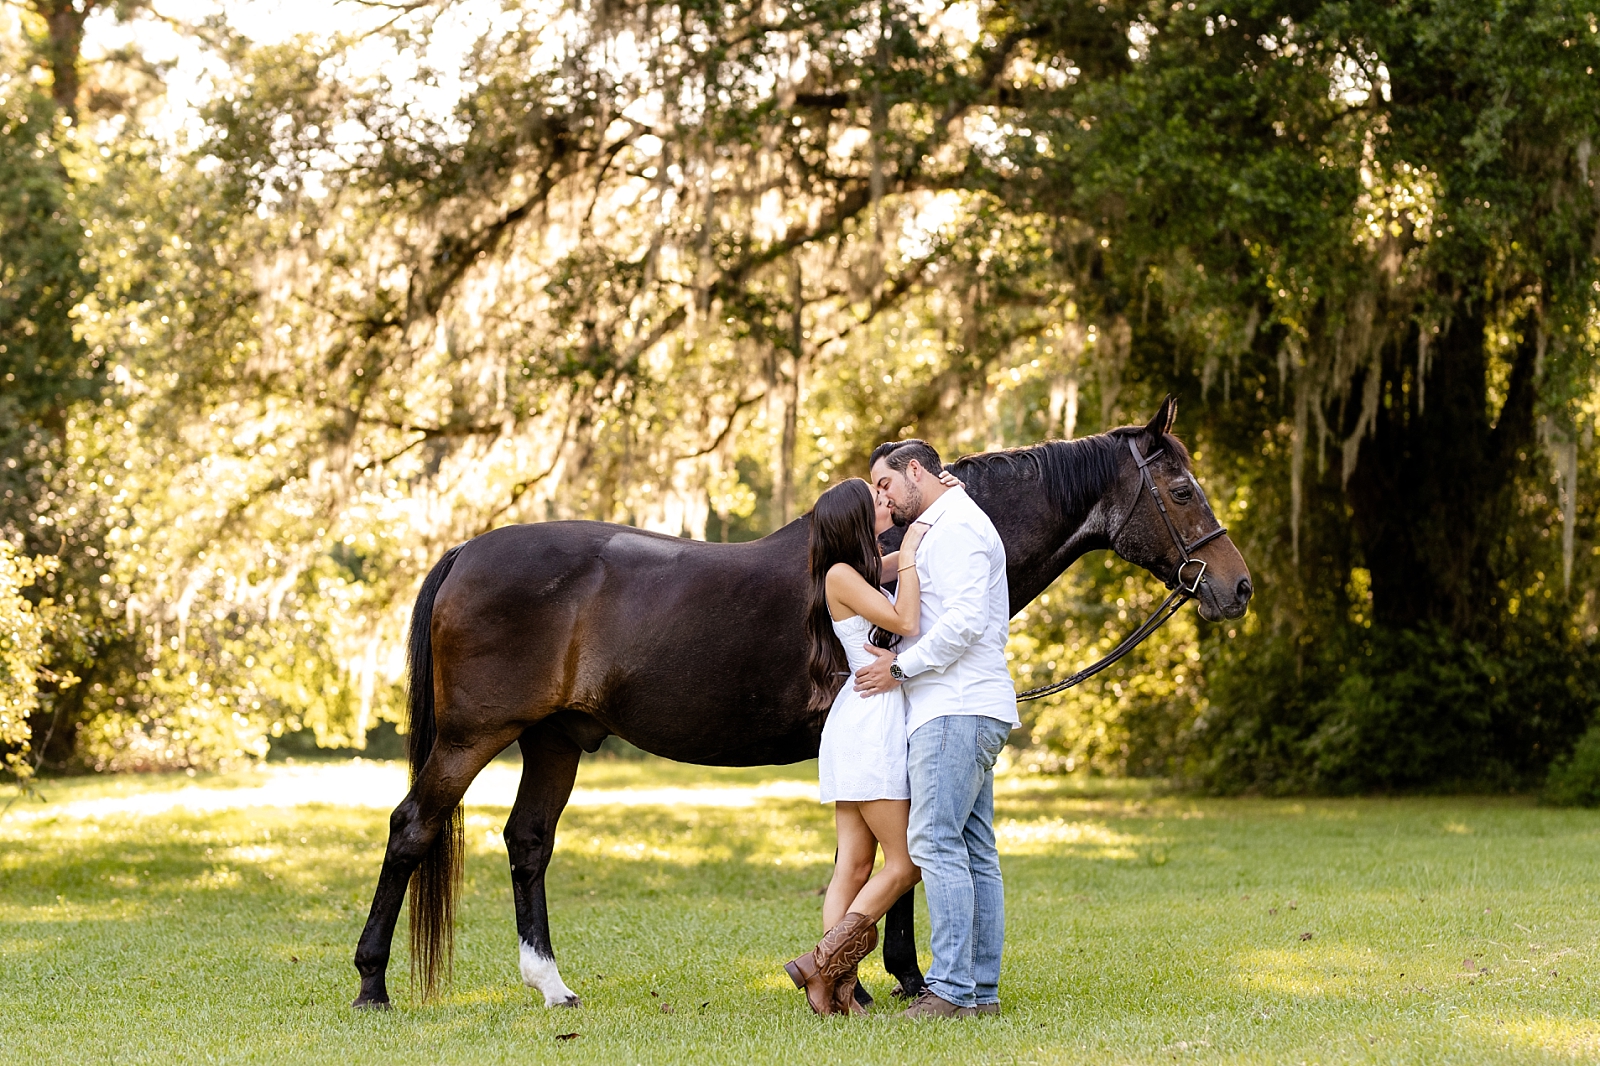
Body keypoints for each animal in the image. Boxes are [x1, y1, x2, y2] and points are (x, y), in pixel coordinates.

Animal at [350, 396, 1248, 1005]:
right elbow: (903, 862)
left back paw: (552, 985)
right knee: (412, 828)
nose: (1236, 588)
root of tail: (467, 552)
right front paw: (903, 978)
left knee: (528, 843)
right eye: (1180, 490)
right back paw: (372, 983)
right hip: (471, 737)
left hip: (554, 739)